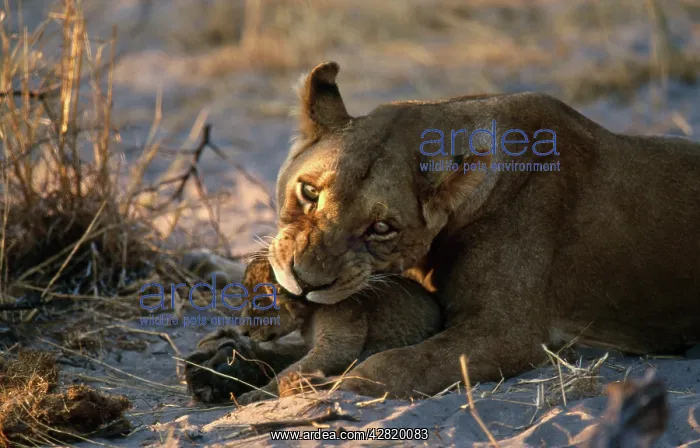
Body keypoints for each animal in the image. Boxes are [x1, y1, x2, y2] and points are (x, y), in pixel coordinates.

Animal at [233, 254, 442, 404]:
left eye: (258, 303)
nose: (242, 332)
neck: (310, 313)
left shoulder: (338, 345)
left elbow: (294, 368)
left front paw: (258, 393)